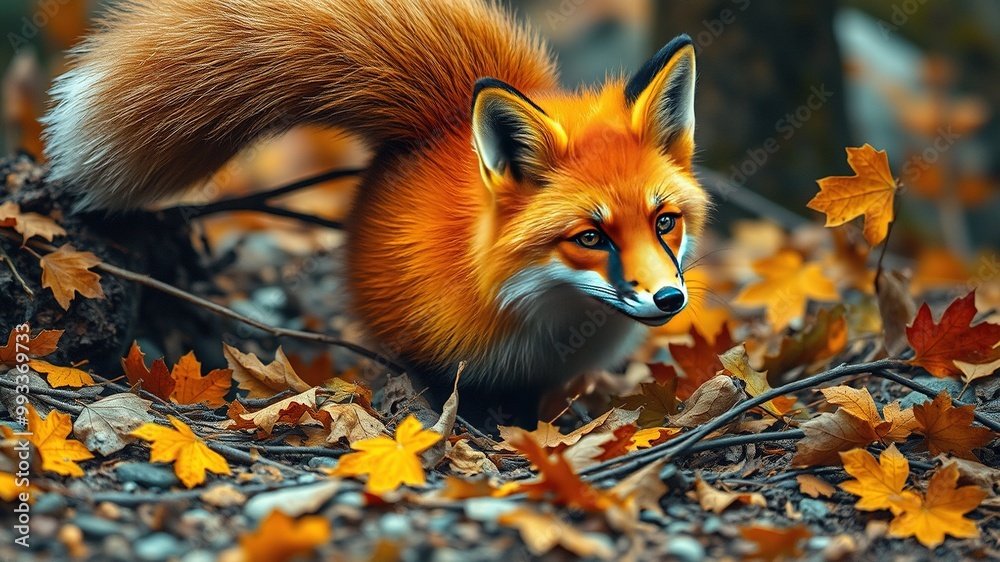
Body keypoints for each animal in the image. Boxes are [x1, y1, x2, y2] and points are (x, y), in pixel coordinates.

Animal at [41, 0, 710, 425]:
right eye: (591, 237)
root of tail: (442, 120)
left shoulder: (539, 377)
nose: (669, 300)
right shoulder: (444, 356)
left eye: (664, 222)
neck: (545, 318)